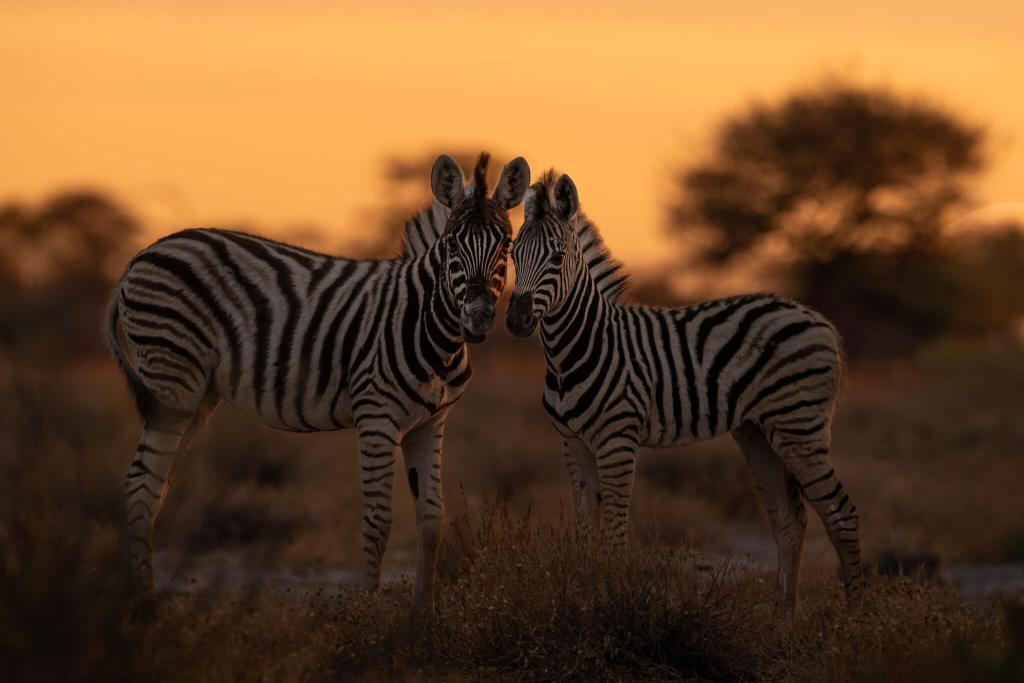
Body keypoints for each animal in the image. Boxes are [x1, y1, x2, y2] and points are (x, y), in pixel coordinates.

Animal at [106, 152, 530, 608]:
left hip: (195, 396)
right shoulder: (377, 419)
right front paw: (371, 614)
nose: (478, 319)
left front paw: (422, 616)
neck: (429, 325)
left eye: (507, 245)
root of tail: (140, 256)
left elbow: (433, 518)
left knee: (153, 486)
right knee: (139, 486)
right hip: (172, 379)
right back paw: (144, 607)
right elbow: (377, 522)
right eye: (452, 244)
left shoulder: (431, 423)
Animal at [505, 170, 863, 608]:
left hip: (800, 426)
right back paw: (784, 619)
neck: (573, 352)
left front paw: (615, 603)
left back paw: (854, 618)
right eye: (512, 255)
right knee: (787, 520)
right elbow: (585, 538)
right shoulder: (573, 443)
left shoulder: (618, 441)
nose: (517, 320)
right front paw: (585, 601)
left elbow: (615, 538)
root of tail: (819, 320)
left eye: (557, 259)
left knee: (841, 514)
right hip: (758, 432)